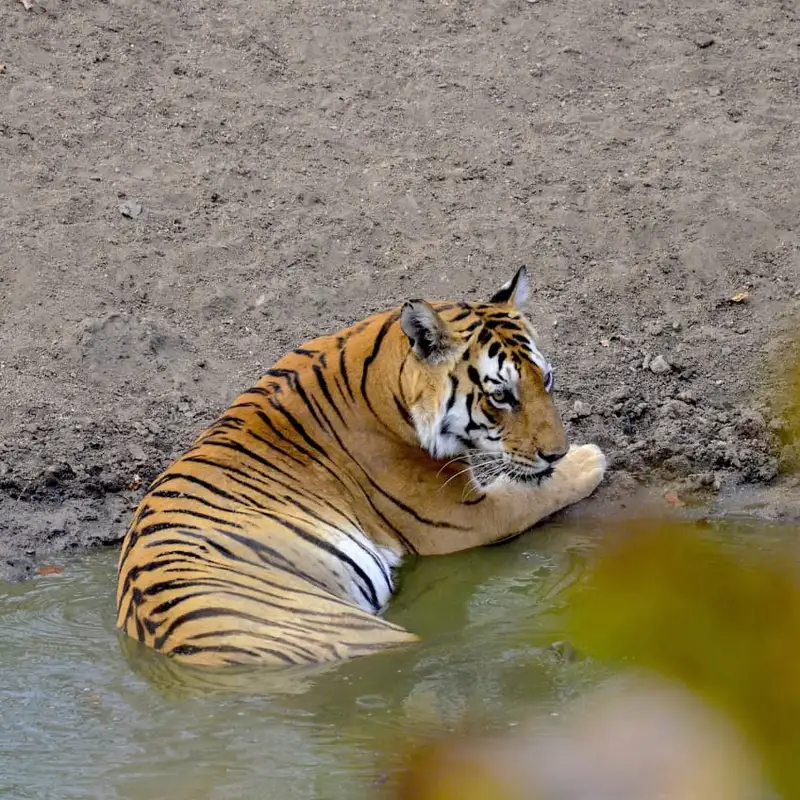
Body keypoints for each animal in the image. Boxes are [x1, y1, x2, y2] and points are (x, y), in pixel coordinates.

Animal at [116, 266, 606, 668]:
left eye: (546, 379)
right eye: (501, 395)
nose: (557, 452)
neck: (388, 377)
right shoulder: (462, 517)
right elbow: (534, 492)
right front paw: (590, 459)